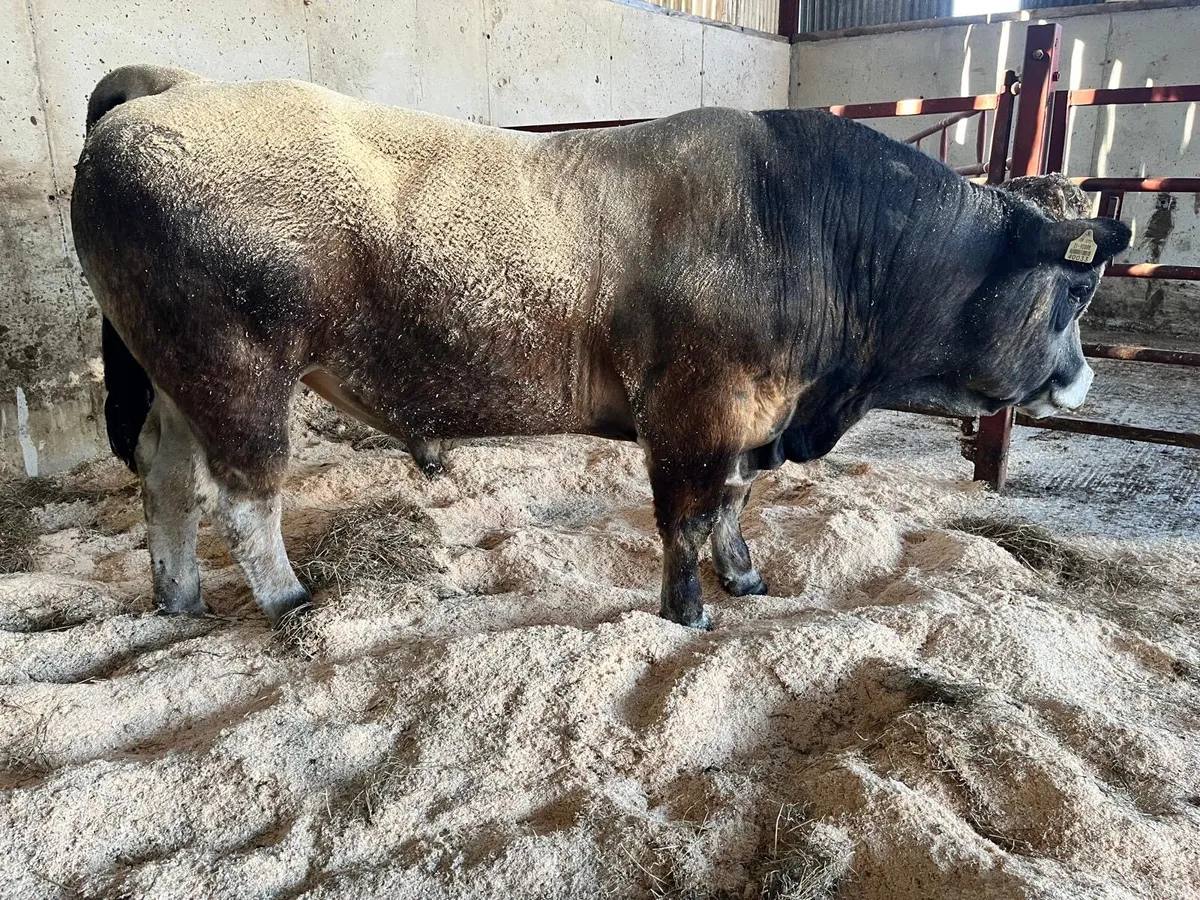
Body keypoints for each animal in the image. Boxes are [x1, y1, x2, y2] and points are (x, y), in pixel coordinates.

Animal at [72, 65, 1130, 631]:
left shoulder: (747, 418)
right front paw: (689, 610)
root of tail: (164, 94)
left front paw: (746, 577)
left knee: (165, 477)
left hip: (171, 377)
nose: (1081, 379)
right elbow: (688, 518)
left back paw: (178, 598)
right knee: (242, 494)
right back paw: (289, 599)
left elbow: (734, 504)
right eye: (1078, 288)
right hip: (235, 372)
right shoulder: (697, 410)